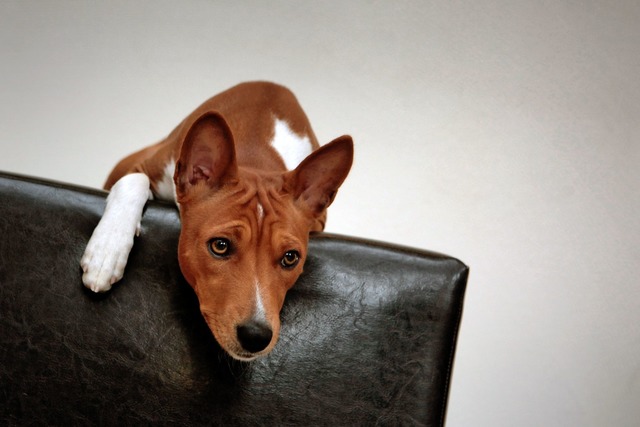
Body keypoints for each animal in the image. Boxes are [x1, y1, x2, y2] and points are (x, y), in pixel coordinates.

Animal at [80, 81, 356, 362]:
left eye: (290, 258)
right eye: (220, 246)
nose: (256, 336)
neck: (255, 147)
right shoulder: (142, 167)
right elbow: (134, 182)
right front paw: (107, 253)